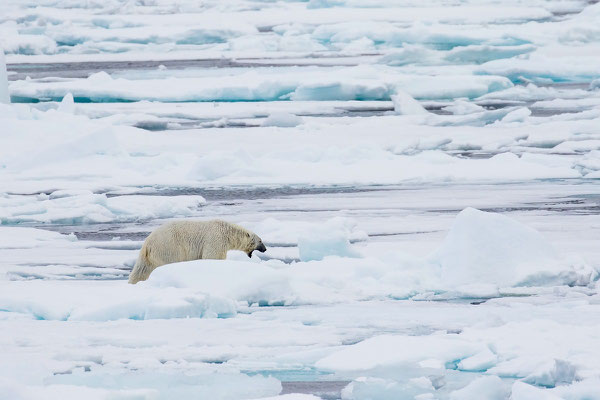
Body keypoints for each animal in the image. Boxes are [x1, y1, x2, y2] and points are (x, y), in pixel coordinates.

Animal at [127, 219, 266, 284]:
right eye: (260, 240)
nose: (265, 249)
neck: (227, 232)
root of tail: (148, 243)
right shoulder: (215, 239)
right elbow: (212, 256)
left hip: (147, 256)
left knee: (141, 270)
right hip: (169, 247)